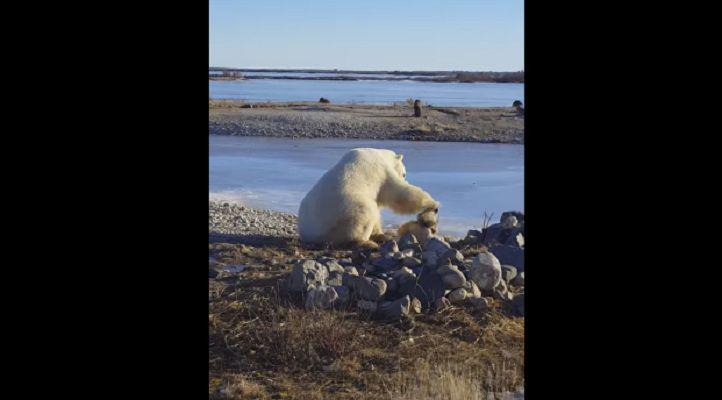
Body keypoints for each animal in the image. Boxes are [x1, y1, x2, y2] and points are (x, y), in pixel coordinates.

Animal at [296, 148, 436, 247]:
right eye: (404, 173)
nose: (404, 177)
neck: (380, 154)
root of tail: (311, 234)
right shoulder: (381, 171)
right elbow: (398, 193)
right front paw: (433, 205)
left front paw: (380, 233)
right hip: (344, 211)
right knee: (365, 212)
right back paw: (367, 243)